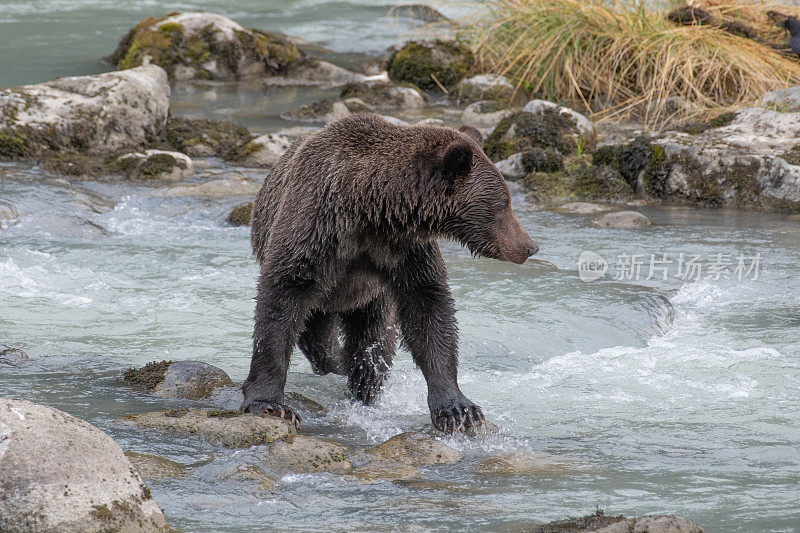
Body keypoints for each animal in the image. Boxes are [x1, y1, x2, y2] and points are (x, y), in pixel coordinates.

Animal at [244, 113, 536, 432]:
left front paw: (457, 408)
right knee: (319, 338)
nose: (529, 246)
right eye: (503, 204)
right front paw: (270, 403)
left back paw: (363, 385)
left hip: (373, 299)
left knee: (373, 343)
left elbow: (429, 309)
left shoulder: (404, 251)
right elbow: (282, 298)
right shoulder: (317, 225)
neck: (369, 208)